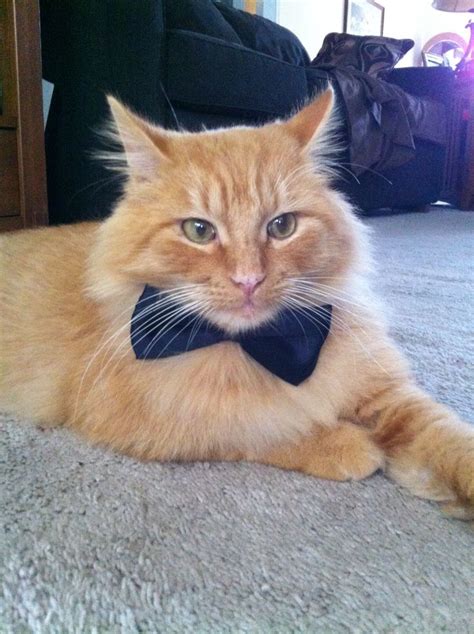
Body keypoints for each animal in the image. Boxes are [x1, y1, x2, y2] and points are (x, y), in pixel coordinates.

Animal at [0, 92, 472, 520]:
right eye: (198, 230)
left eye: (282, 226)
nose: (248, 280)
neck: (261, 347)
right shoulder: (151, 417)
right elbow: (260, 426)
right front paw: (346, 444)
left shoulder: (385, 395)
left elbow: (449, 441)